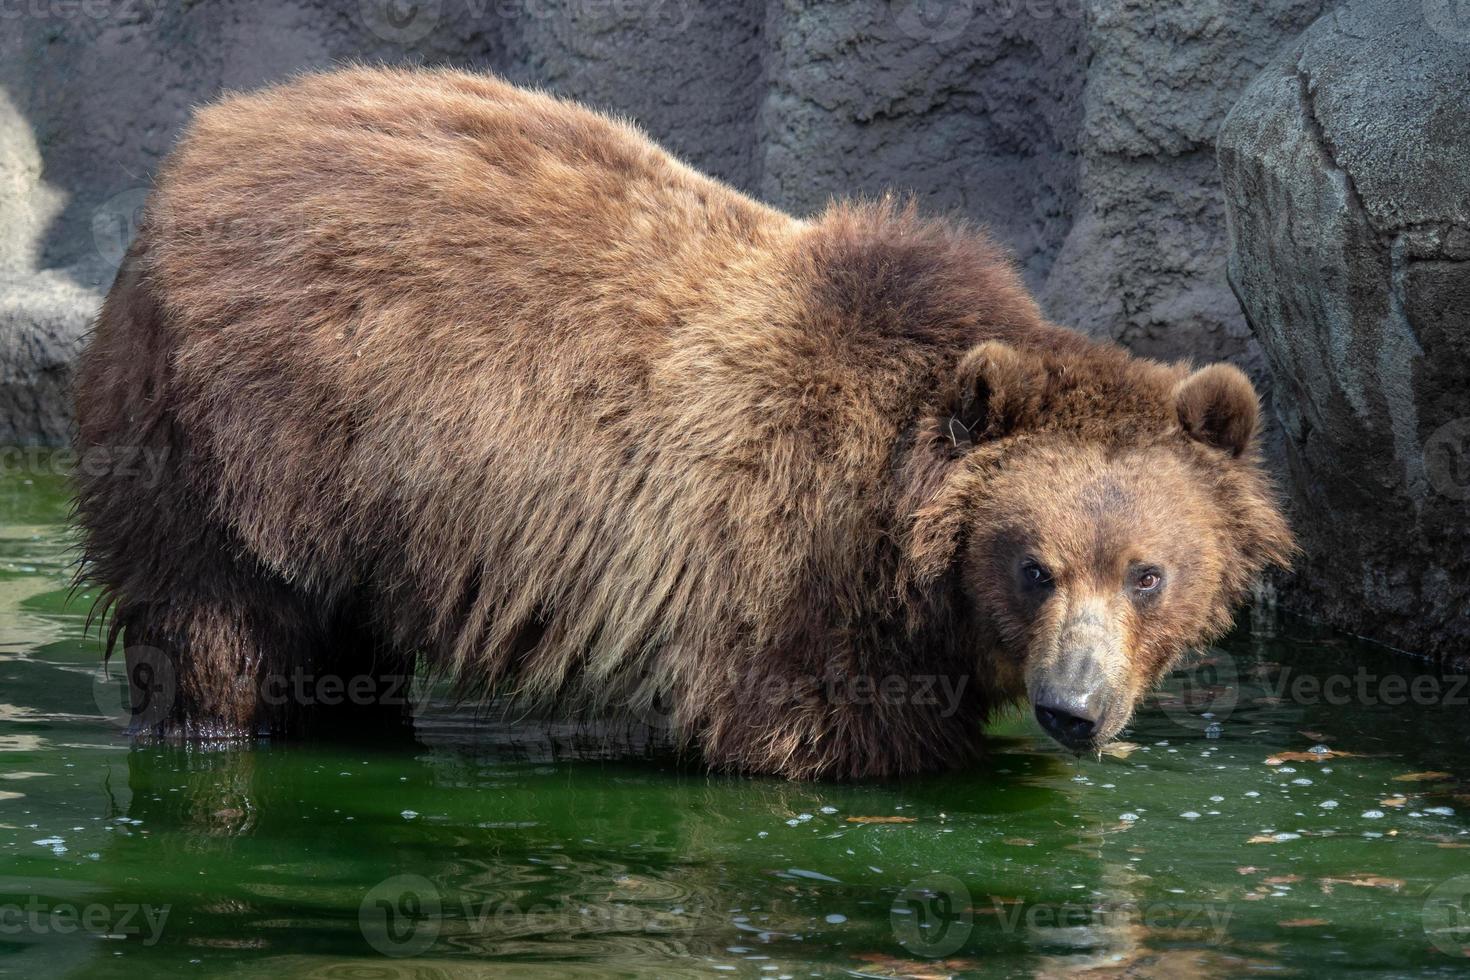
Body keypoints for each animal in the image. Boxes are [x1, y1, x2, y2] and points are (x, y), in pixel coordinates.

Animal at [71, 65, 1287, 775]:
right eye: (1034, 566)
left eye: (1148, 573)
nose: (1077, 707)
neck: (897, 529)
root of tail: (206, 138)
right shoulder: (784, 569)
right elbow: (815, 732)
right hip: (234, 442)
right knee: (219, 627)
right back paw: (214, 725)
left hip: (360, 502)